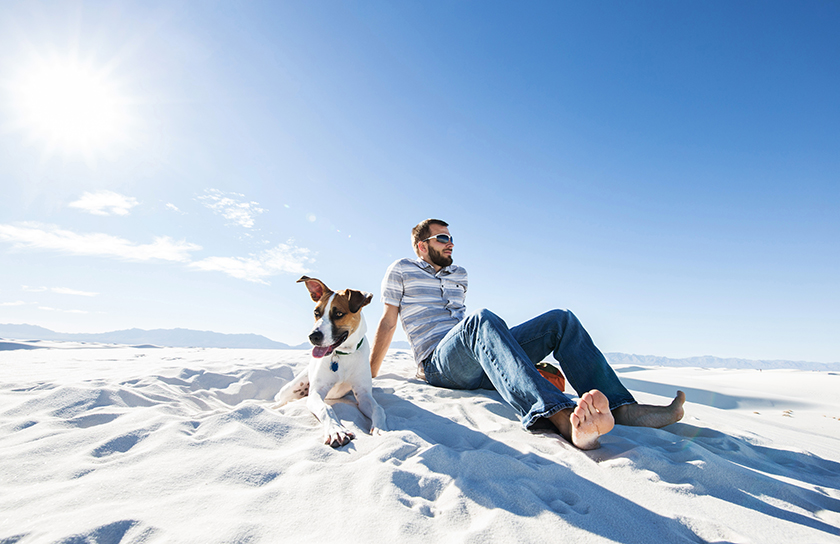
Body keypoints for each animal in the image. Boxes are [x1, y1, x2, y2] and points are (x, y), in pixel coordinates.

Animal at [276, 274, 388, 448]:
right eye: (316, 312)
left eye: (339, 314)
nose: (313, 336)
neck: (343, 355)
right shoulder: (315, 393)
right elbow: (326, 408)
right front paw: (336, 431)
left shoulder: (363, 395)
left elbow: (379, 409)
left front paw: (380, 429)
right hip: (290, 389)